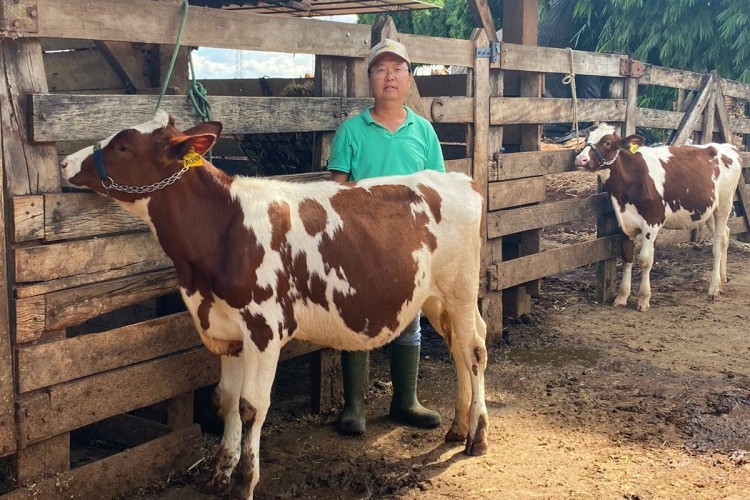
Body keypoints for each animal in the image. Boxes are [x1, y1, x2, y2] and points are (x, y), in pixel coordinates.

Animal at [60, 110, 489, 499]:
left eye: (123, 145)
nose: (64, 162)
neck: (222, 231)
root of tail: (458, 179)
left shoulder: (265, 328)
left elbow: (252, 406)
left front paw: (243, 484)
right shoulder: (227, 330)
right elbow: (225, 401)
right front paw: (219, 475)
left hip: (461, 289)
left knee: (474, 351)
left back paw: (477, 436)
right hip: (434, 297)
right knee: (458, 348)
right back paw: (457, 427)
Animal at [574, 123, 742, 312]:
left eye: (608, 142)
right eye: (587, 139)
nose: (580, 159)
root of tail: (727, 147)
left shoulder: (652, 224)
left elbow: (645, 261)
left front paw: (643, 299)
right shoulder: (624, 224)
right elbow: (627, 258)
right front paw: (622, 297)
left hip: (724, 204)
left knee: (718, 243)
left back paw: (713, 288)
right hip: (708, 210)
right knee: (726, 235)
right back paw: (722, 280)